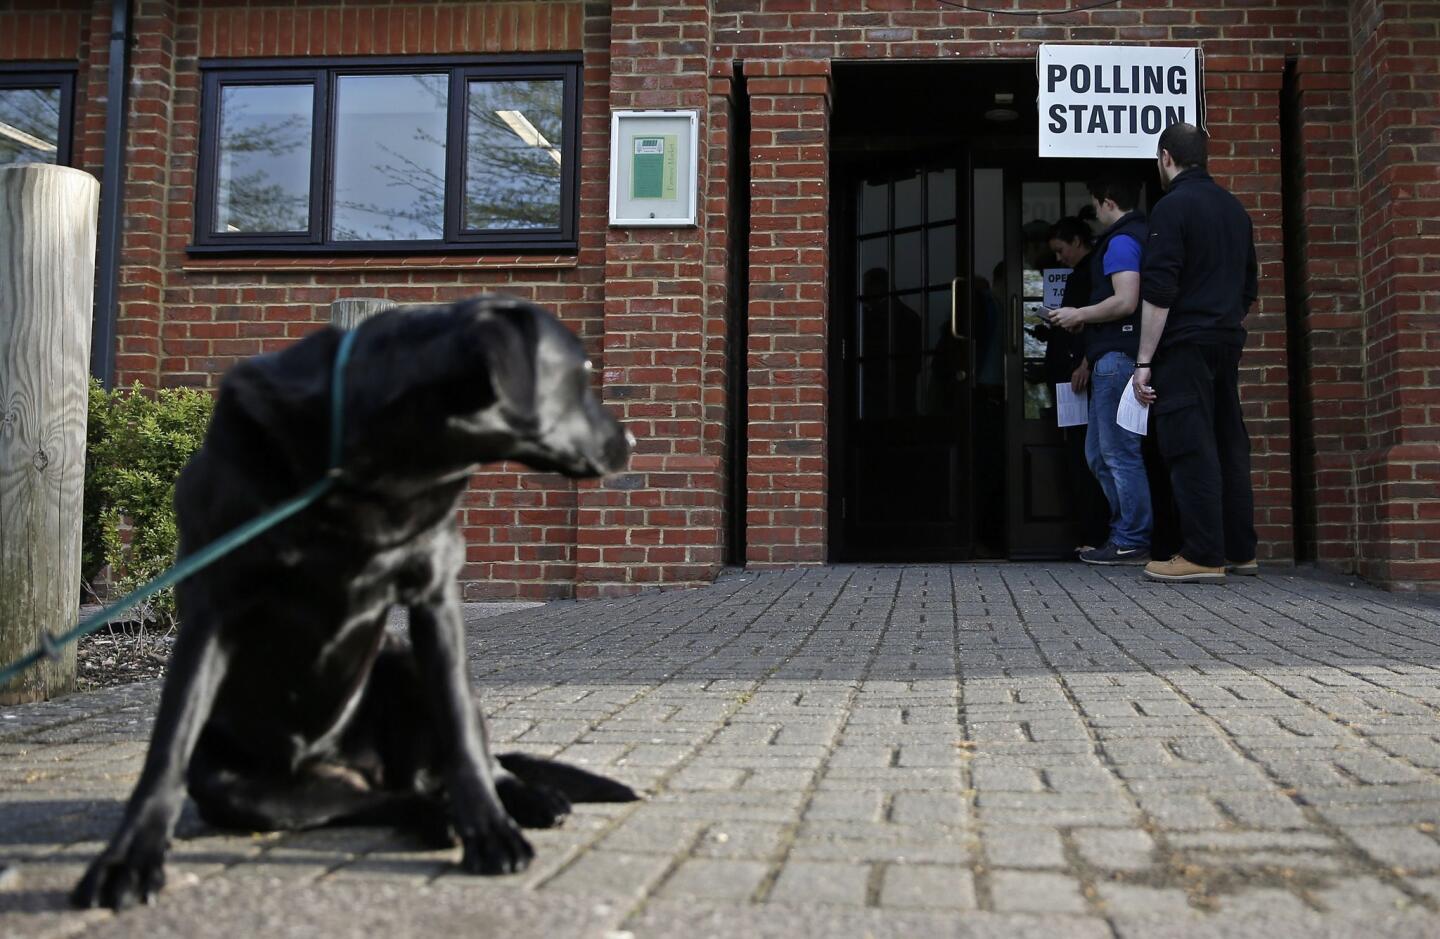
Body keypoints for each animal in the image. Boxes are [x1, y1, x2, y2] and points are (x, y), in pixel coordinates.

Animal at [74, 295, 636, 910]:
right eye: (582, 375)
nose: (630, 443)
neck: (373, 470)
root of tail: (369, 766)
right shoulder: (212, 607)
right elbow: (167, 748)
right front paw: (128, 859)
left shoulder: (436, 600)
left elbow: (464, 732)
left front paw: (491, 832)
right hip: (249, 787)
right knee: (390, 799)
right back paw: (437, 817)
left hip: (402, 659)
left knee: (473, 759)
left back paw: (528, 800)